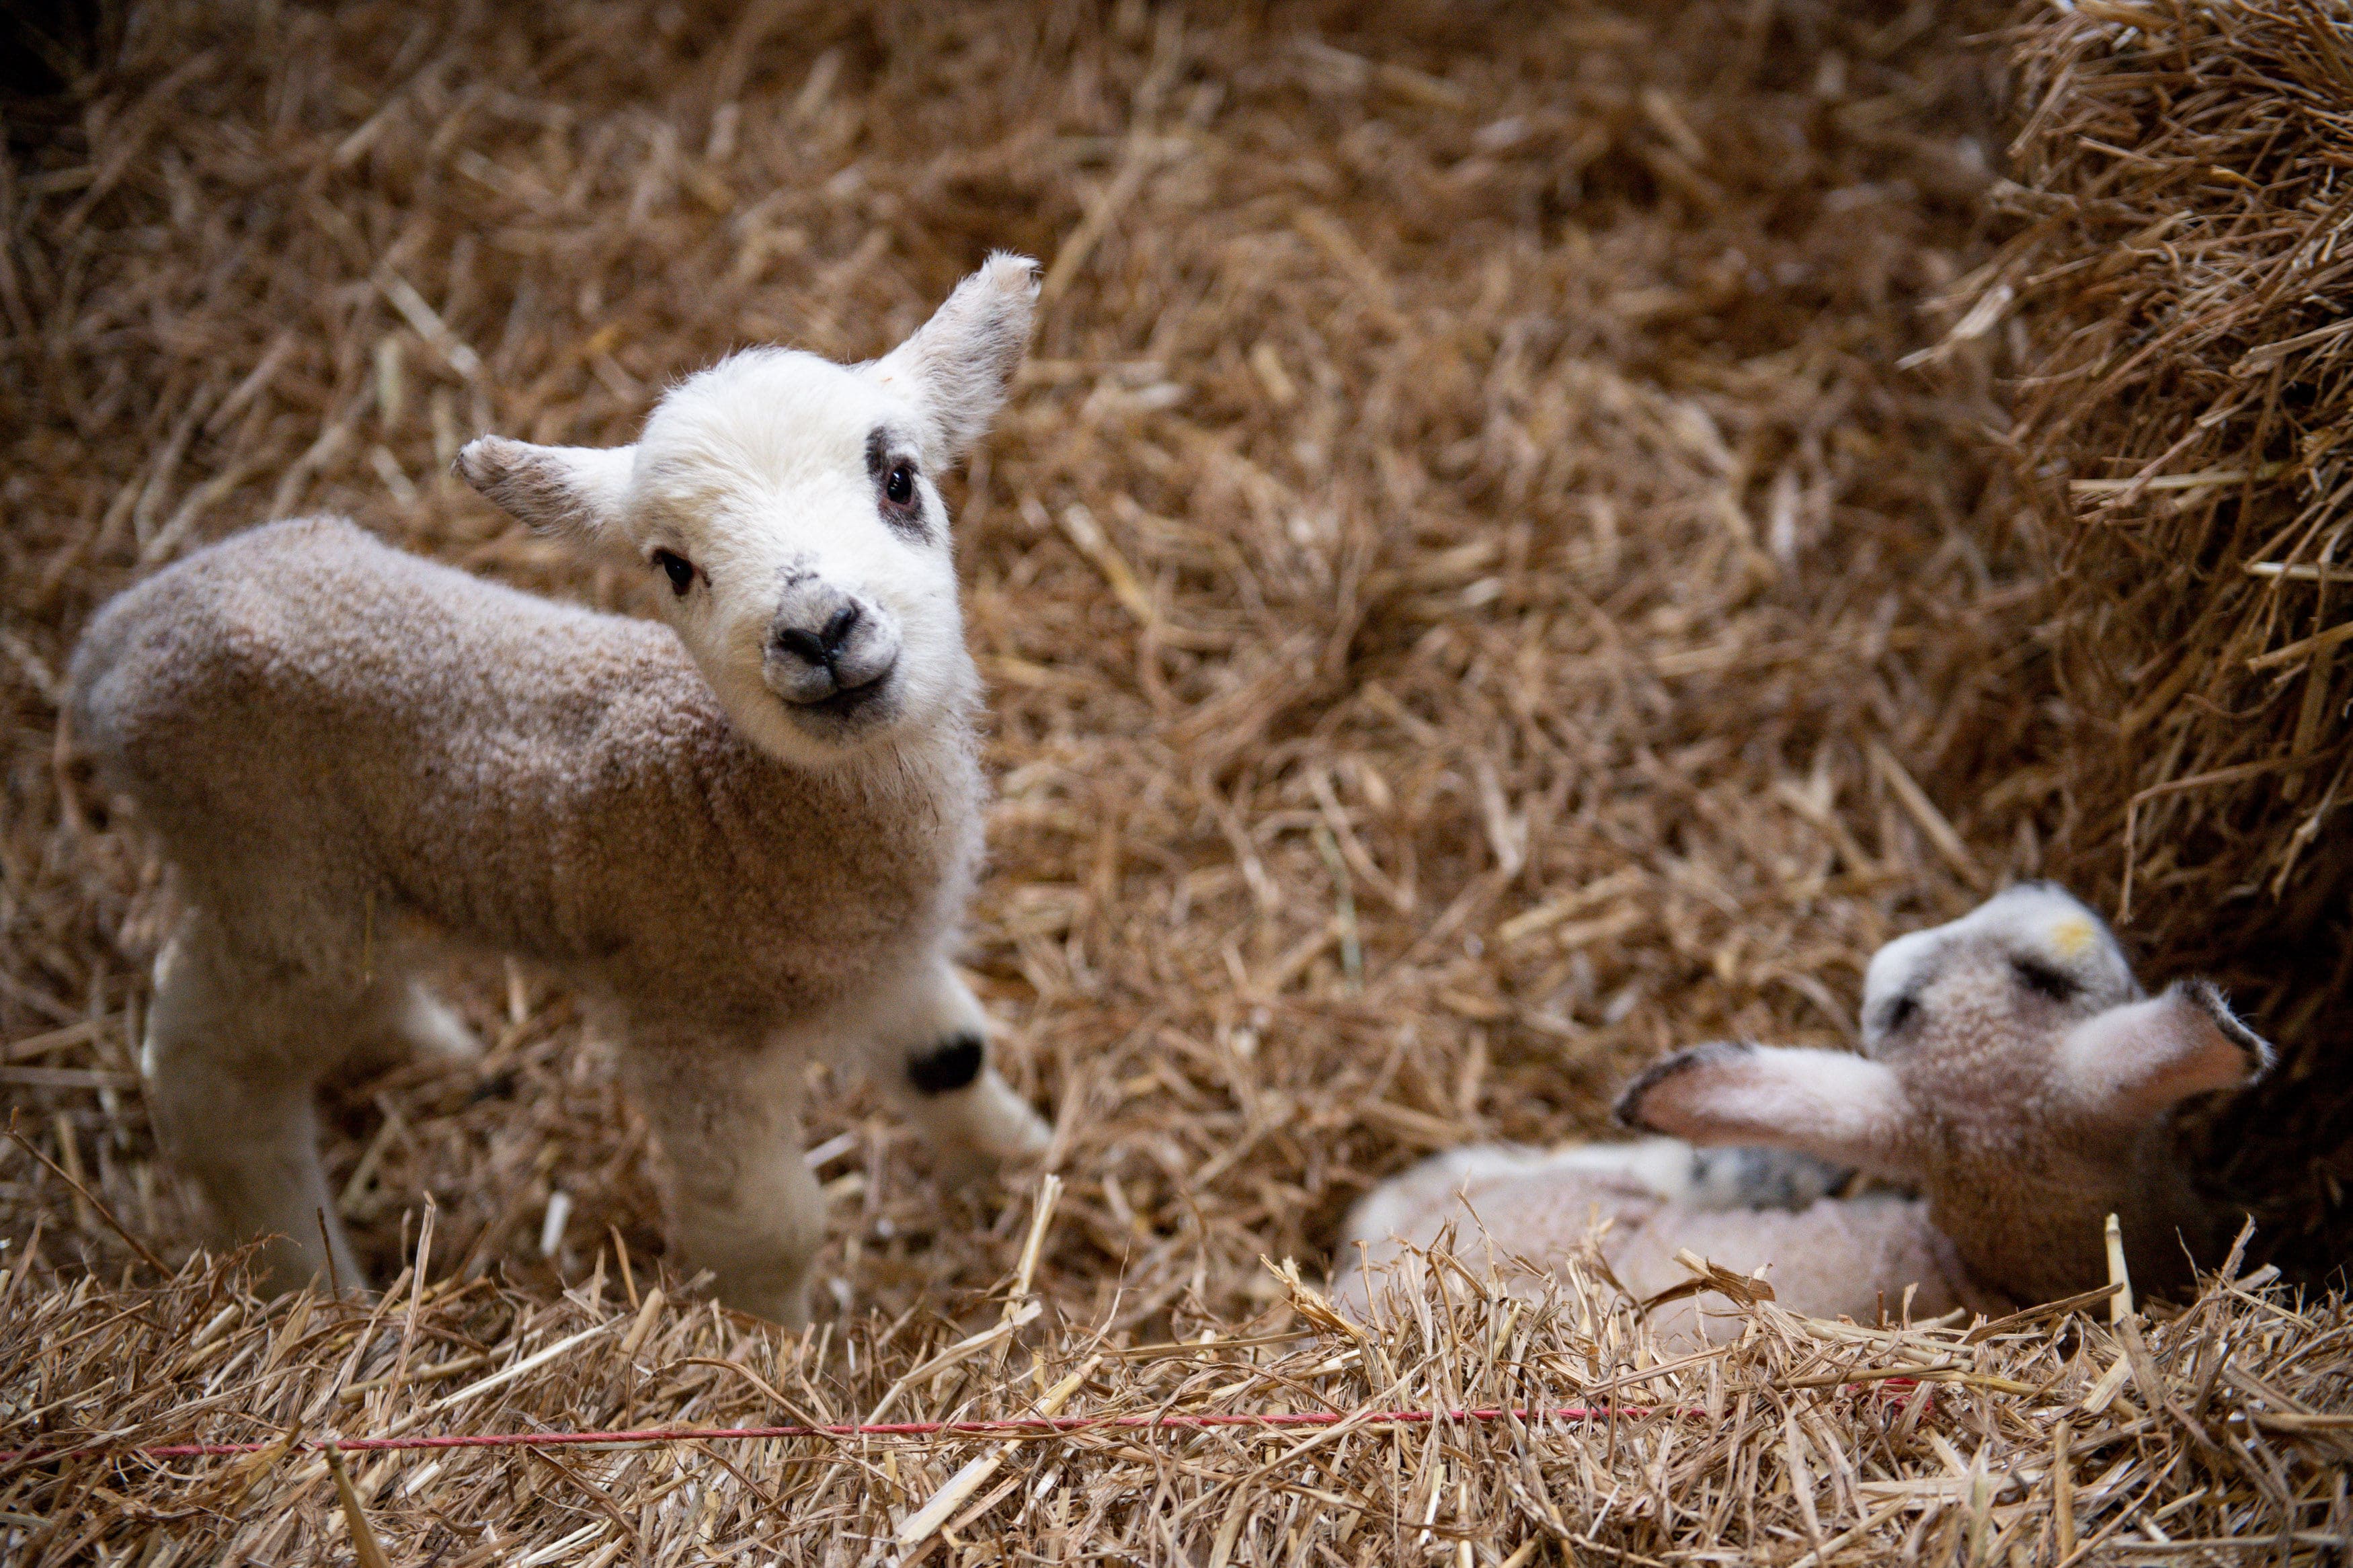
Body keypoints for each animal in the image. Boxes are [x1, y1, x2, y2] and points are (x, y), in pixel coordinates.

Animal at [67, 255, 1059, 1325]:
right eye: (674, 566)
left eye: (899, 478)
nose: (819, 629)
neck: (730, 804)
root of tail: (114, 639)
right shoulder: (690, 1023)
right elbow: (768, 1227)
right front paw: (769, 1344)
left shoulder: (896, 959)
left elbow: (955, 1058)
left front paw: (1028, 1170)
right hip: (274, 883)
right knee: (210, 1078)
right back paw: (315, 1283)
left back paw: (433, 1053)